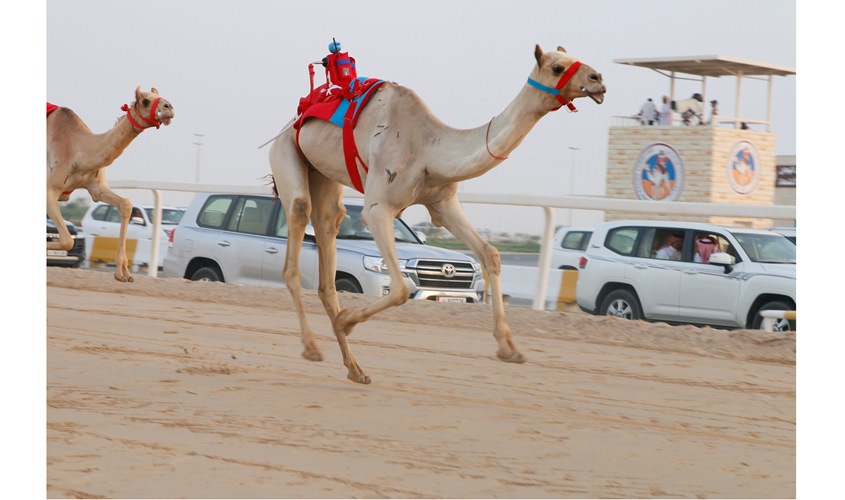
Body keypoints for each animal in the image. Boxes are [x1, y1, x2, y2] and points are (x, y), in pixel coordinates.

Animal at [46, 86, 175, 282]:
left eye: (158, 95)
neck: (80, 151)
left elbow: (126, 204)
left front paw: (123, 273)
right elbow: (68, 240)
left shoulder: (96, 187)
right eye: (145, 100)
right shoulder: (50, 189)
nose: (169, 108)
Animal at [268, 44, 604, 382]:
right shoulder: (377, 209)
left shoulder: (443, 203)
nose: (598, 79)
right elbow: (401, 288)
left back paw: (355, 368)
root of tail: (292, 120)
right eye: (557, 67)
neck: (429, 149)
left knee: (328, 244)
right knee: (297, 226)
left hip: (323, 175)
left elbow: (490, 254)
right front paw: (346, 320)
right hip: (285, 151)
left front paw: (510, 349)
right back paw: (312, 347)